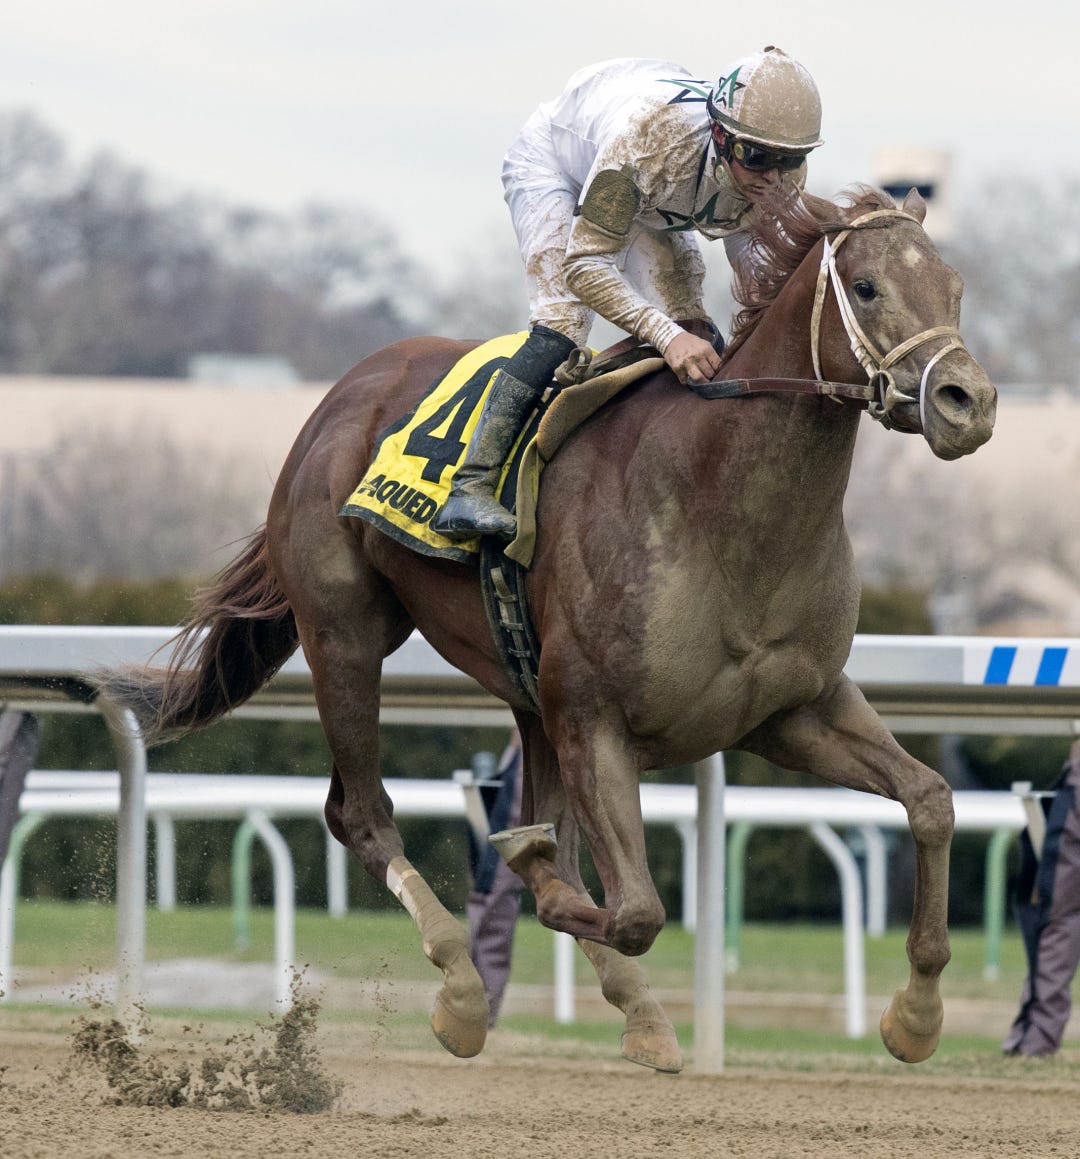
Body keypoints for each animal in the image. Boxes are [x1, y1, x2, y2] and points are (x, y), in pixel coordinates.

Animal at [96, 185, 997, 1072]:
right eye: (869, 288)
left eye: (955, 287)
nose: (969, 402)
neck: (720, 503)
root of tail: (340, 394)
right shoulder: (596, 720)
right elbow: (628, 907)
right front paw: (528, 879)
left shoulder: (790, 709)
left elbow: (931, 799)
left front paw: (917, 1015)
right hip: (346, 636)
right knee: (361, 812)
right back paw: (463, 989)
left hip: (529, 694)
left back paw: (636, 1009)